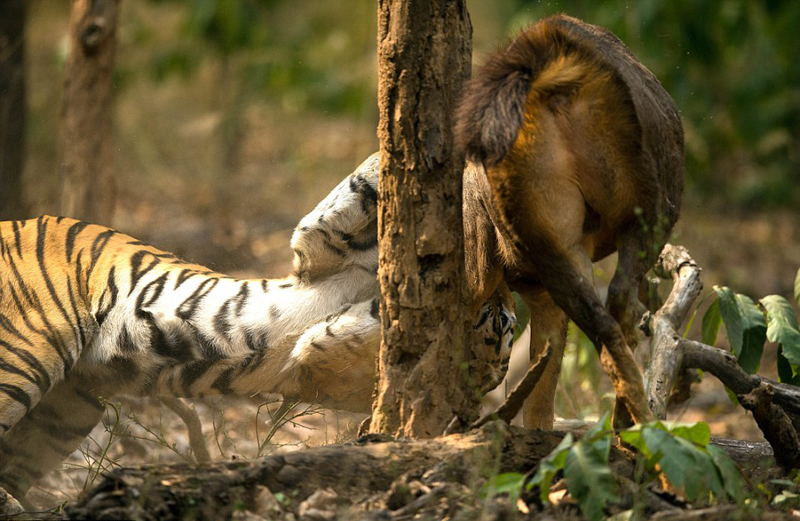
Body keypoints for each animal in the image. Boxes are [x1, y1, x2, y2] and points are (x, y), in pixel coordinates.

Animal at [0, 153, 516, 507]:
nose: (502, 310)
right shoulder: (321, 251)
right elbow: (359, 184)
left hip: (63, 405)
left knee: (14, 465)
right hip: (31, 357)